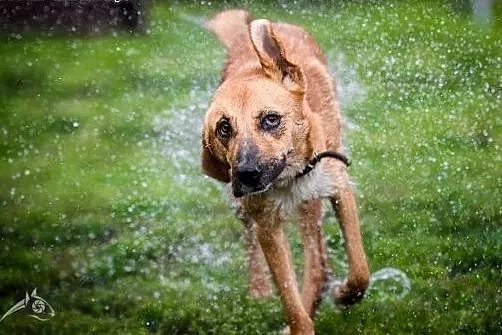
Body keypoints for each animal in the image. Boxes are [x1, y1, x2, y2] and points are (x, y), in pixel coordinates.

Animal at [200, 9, 368, 334]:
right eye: (224, 128)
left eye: (271, 119)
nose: (247, 174)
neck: (289, 178)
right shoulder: (266, 225)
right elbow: (290, 299)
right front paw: (299, 320)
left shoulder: (339, 188)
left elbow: (359, 268)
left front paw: (343, 294)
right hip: (246, 209)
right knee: (256, 243)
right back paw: (260, 288)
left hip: (311, 207)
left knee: (318, 263)